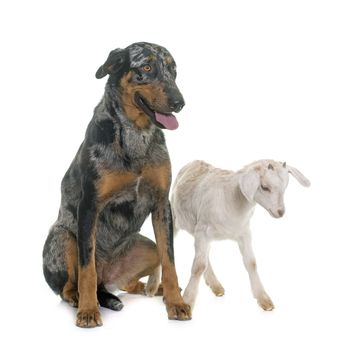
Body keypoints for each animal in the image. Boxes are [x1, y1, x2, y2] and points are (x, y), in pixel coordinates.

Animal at [43, 42, 193, 326]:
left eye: (174, 70)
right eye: (147, 67)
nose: (180, 103)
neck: (136, 135)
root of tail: (108, 278)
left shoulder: (162, 205)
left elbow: (170, 262)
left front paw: (176, 302)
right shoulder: (89, 207)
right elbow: (86, 268)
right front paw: (89, 310)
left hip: (147, 248)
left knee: (130, 282)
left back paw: (152, 289)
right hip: (62, 237)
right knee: (69, 286)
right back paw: (80, 298)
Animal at [171, 160, 310, 310]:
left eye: (285, 187)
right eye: (264, 187)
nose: (280, 212)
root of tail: (194, 162)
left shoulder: (243, 233)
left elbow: (251, 263)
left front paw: (263, 298)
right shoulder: (203, 231)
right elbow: (198, 267)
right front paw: (187, 302)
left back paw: (215, 285)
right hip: (174, 216)